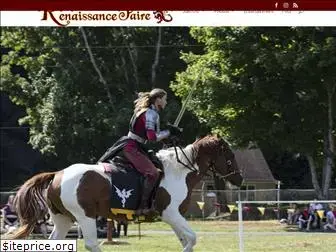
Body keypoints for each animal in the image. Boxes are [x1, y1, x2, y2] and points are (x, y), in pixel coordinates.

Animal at [10, 136, 242, 252]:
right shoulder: (171, 215)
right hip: (85, 216)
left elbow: (187, 241)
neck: (179, 171)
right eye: (230, 156)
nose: (239, 180)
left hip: (63, 219)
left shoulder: (175, 218)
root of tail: (58, 174)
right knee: (91, 244)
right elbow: (191, 239)